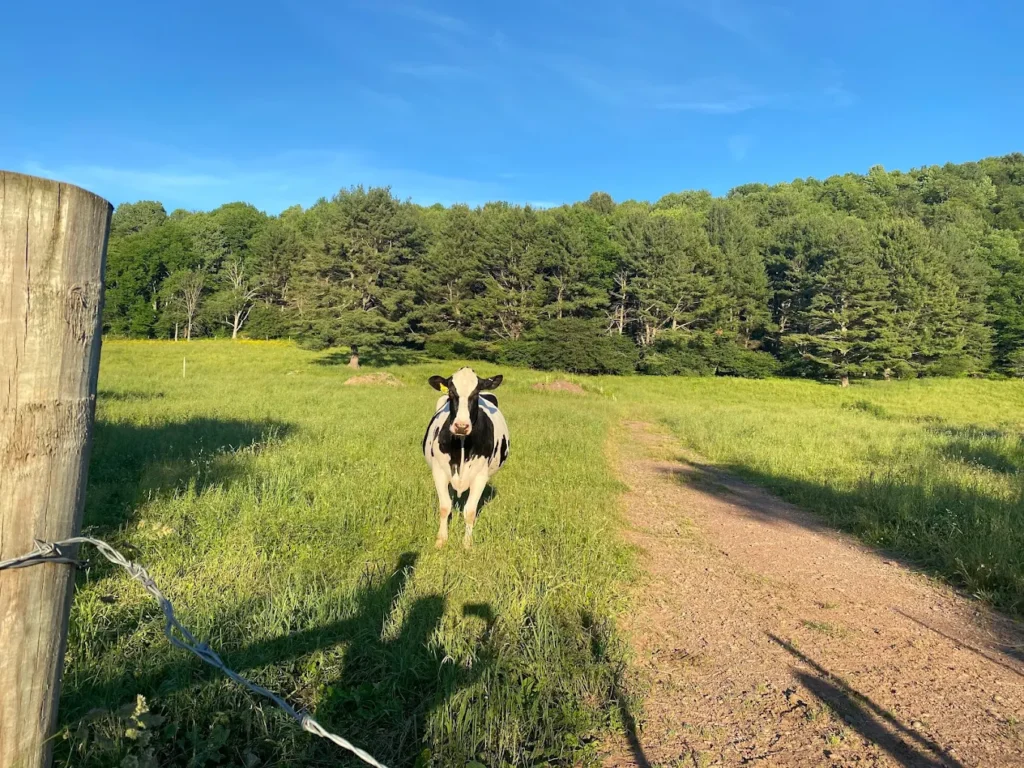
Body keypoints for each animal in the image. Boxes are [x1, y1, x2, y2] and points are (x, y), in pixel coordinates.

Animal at [422, 368, 510, 549]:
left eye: (475, 393)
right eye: (451, 391)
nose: (461, 426)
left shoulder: (481, 476)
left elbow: (470, 511)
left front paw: (467, 544)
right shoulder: (439, 471)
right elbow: (444, 506)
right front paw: (441, 540)